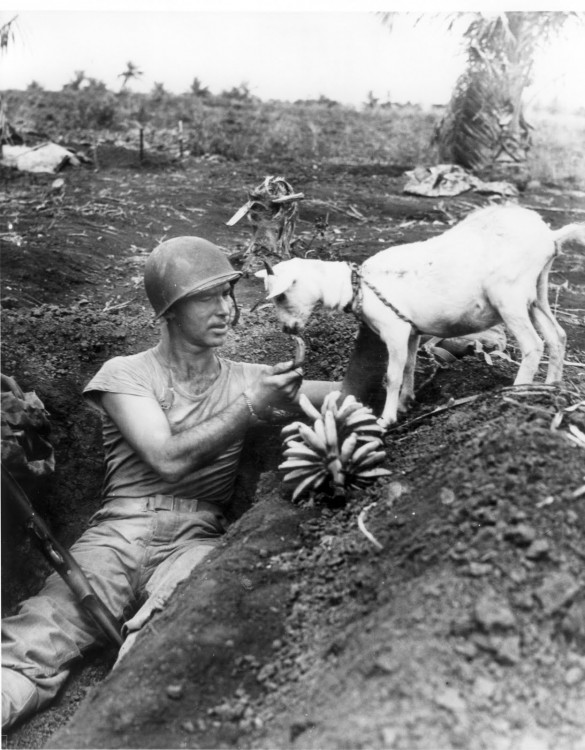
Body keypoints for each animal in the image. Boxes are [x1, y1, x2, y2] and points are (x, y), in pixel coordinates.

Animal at [256, 206, 584, 428]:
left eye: (281, 296)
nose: (287, 329)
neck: (356, 285)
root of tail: (550, 236)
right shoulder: (412, 332)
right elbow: (409, 367)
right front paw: (406, 403)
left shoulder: (395, 329)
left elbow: (391, 375)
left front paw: (386, 418)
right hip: (536, 293)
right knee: (557, 336)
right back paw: (549, 389)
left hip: (509, 296)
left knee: (533, 344)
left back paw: (517, 392)